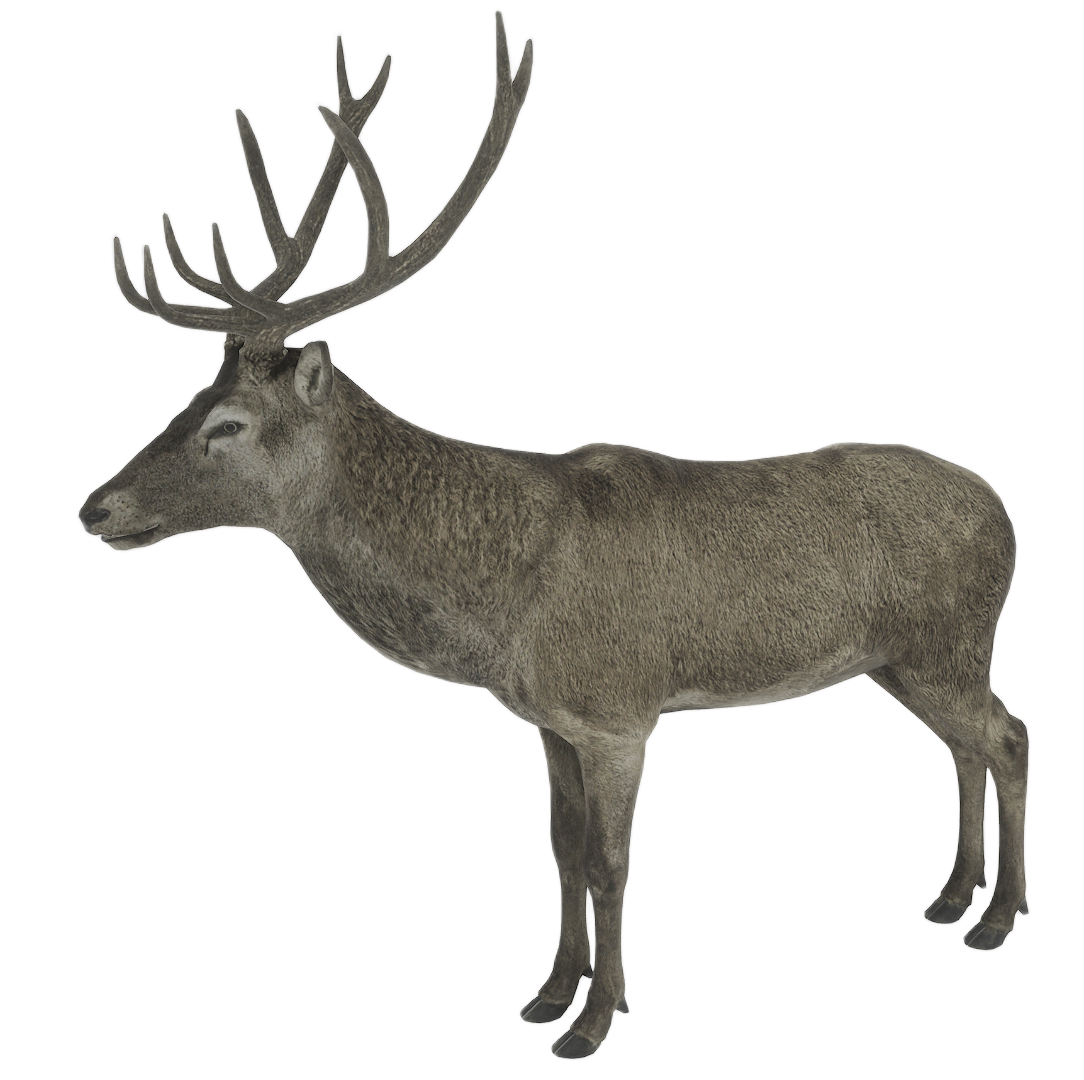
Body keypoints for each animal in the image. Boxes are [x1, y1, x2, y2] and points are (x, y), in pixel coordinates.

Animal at [77, 7, 1030, 1061]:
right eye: (188, 399)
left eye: (228, 425)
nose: (97, 507)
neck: (504, 608)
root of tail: (1004, 509)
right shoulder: (547, 718)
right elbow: (562, 852)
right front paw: (546, 993)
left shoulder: (619, 708)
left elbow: (611, 863)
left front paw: (596, 1020)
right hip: (899, 658)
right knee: (970, 744)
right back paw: (951, 897)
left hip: (948, 641)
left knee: (1009, 733)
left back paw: (995, 917)